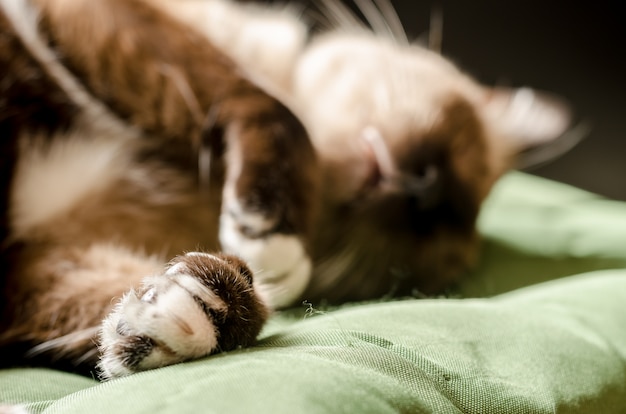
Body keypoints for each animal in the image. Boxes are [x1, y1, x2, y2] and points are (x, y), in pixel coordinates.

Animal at [0, 0, 572, 380]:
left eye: (427, 232)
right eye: (455, 148)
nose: (423, 191)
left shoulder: (33, 261)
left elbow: (245, 305)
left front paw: (201, 307)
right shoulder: (88, 18)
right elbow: (268, 102)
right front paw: (266, 227)